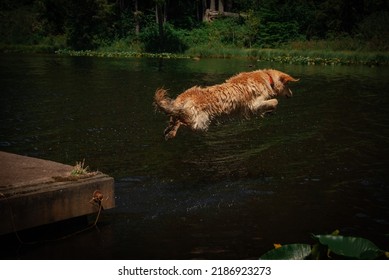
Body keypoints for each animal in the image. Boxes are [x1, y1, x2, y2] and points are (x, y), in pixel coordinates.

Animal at [152, 69, 298, 139]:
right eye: (288, 85)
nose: (292, 95)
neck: (267, 78)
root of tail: (185, 96)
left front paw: (269, 112)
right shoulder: (254, 104)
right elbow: (275, 101)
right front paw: (271, 109)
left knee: (174, 119)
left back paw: (168, 131)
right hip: (200, 123)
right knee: (183, 122)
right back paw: (172, 132)